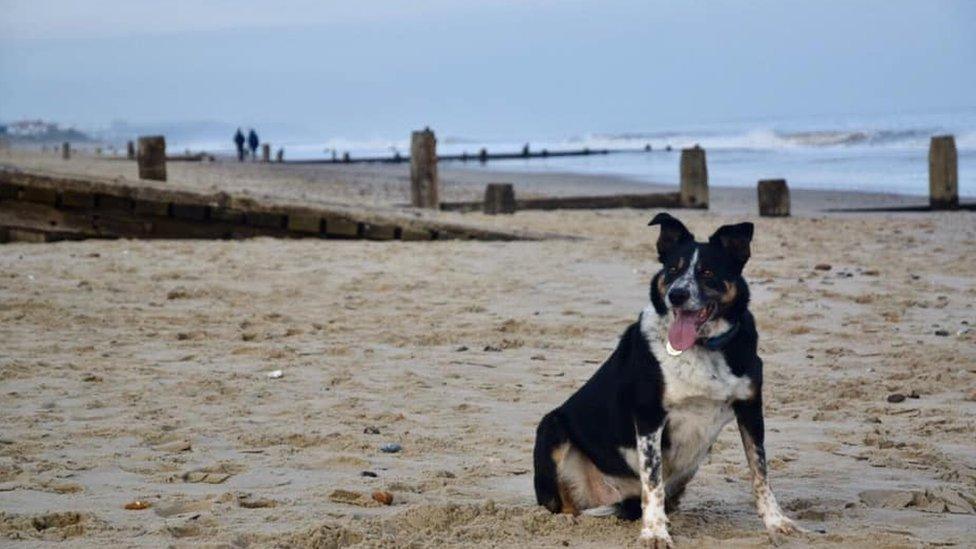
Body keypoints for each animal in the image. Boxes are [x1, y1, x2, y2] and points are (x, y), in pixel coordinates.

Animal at [532, 213, 800, 544]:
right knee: (564, 505)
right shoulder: (649, 416)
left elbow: (760, 472)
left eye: (707, 271)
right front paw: (654, 533)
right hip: (552, 428)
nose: (677, 294)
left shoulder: (751, 408)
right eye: (673, 269)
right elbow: (653, 482)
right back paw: (570, 522)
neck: (702, 347)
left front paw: (776, 522)